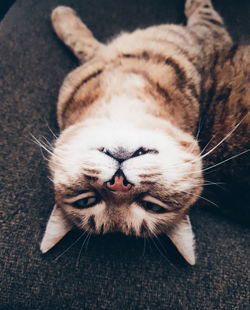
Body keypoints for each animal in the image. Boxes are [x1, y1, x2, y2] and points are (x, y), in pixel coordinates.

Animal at [40, 0, 249, 266]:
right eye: (87, 200)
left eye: (152, 207)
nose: (119, 183)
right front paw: (63, 17)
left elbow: (85, 45)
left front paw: (63, 18)